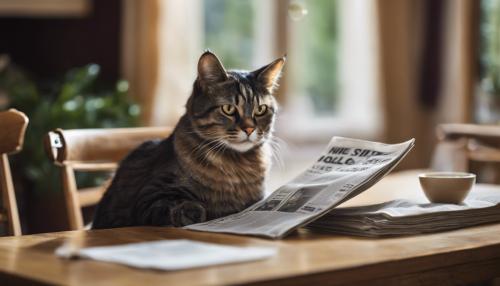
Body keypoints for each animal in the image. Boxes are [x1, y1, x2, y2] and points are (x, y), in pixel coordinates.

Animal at [91, 51, 284, 229]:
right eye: (228, 109)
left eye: (260, 110)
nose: (249, 129)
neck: (238, 166)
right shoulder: (149, 194)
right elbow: (172, 204)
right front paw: (192, 212)